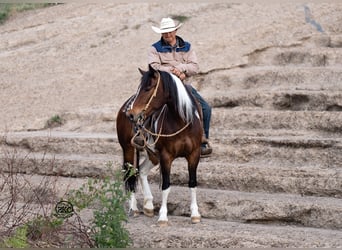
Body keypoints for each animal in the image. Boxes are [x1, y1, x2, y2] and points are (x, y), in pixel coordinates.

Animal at [117, 64, 203, 225]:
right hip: (128, 149)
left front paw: (195, 214)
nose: (131, 114)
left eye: (148, 88)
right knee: (130, 175)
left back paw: (149, 205)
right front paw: (163, 216)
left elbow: (193, 183)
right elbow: (166, 186)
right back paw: (134, 208)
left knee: (142, 171)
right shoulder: (166, 156)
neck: (181, 121)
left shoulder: (194, 154)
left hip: (152, 155)